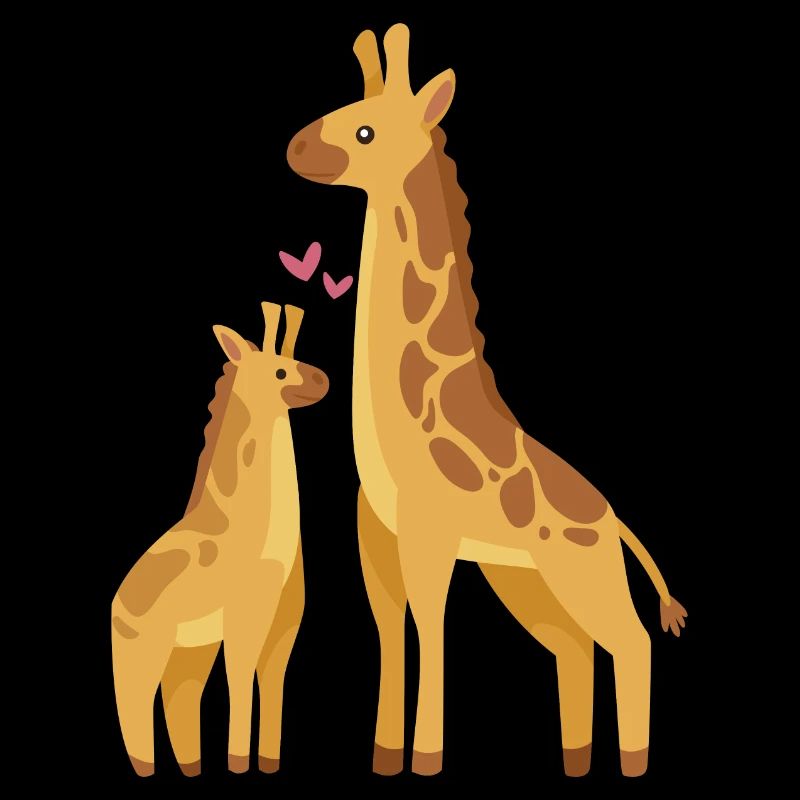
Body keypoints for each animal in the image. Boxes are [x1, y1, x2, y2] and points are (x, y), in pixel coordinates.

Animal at [111, 302, 329, 777]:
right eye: (280, 372)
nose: (323, 379)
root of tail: (118, 598)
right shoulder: (244, 618)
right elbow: (240, 681)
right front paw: (237, 762)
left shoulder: (283, 628)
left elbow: (270, 687)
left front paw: (267, 763)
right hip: (142, 649)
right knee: (135, 706)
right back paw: (147, 769)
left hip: (191, 649)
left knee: (179, 701)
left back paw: (191, 769)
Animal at [287, 24, 687, 778]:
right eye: (350, 106)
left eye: (364, 130)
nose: (296, 148)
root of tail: (615, 521)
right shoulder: (376, 534)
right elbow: (392, 634)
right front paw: (384, 756)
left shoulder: (431, 535)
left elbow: (432, 628)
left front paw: (427, 758)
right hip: (528, 583)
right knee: (575, 648)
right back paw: (576, 759)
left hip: (582, 572)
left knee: (633, 641)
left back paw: (634, 761)